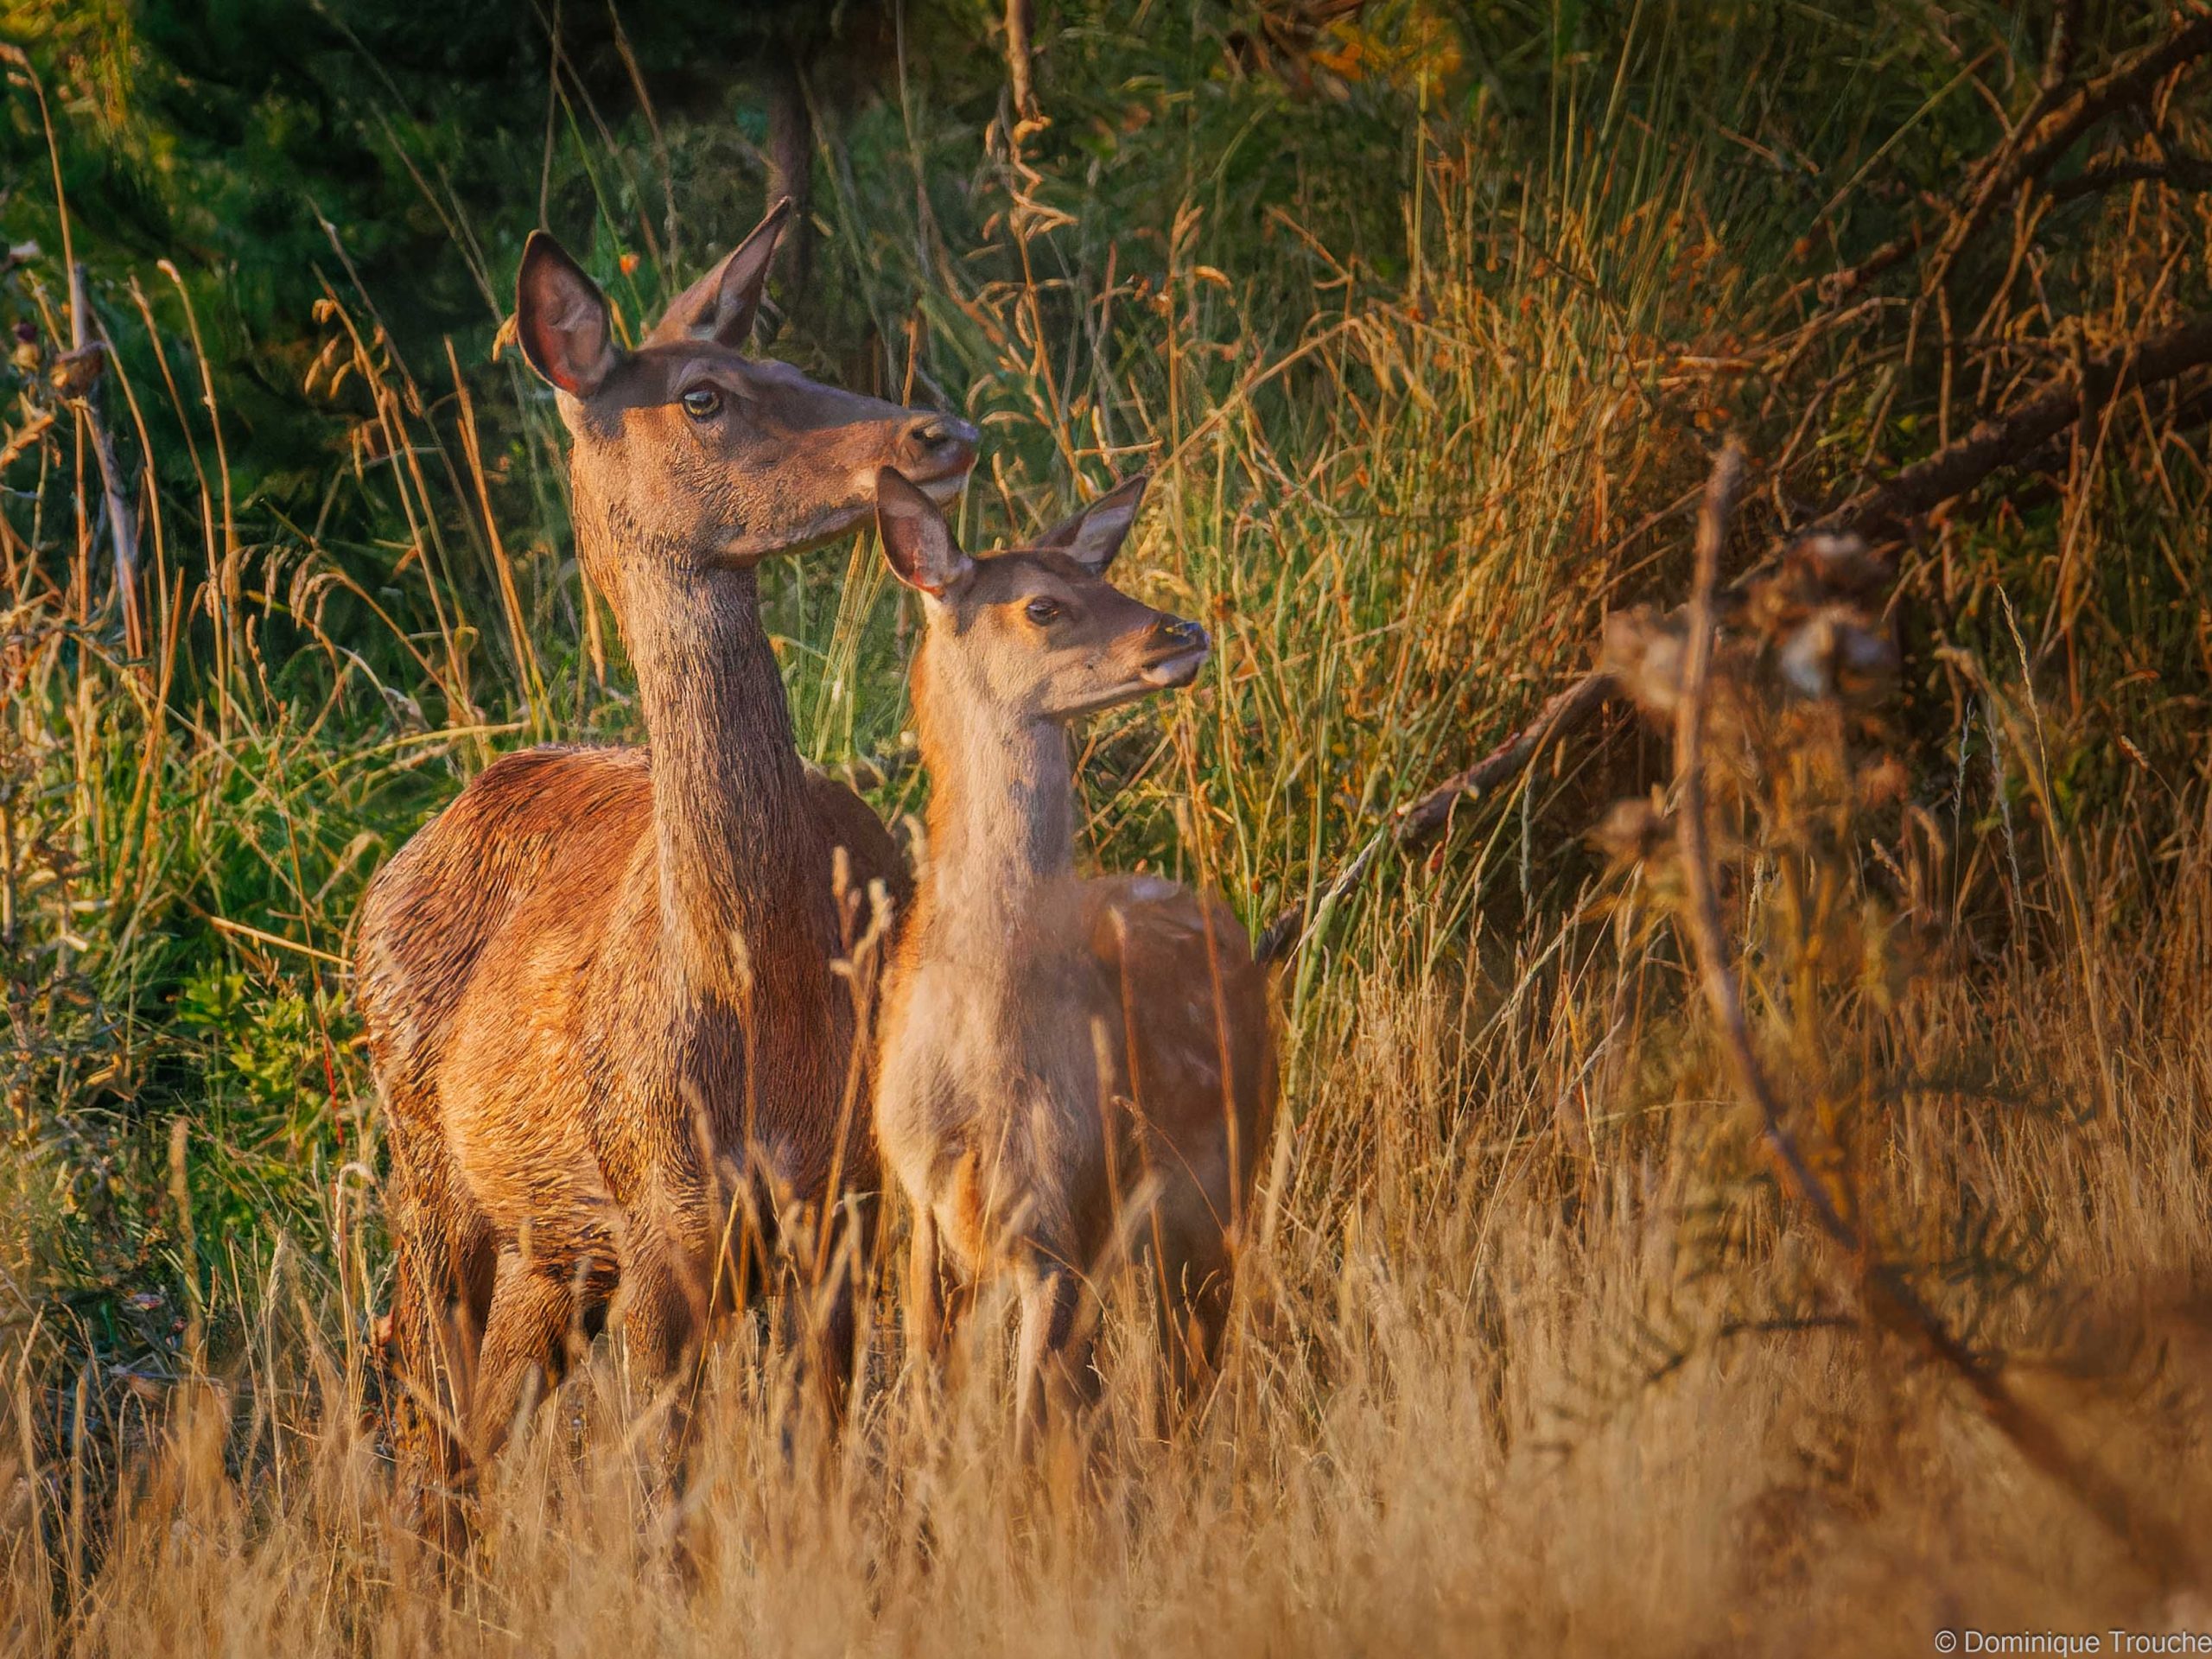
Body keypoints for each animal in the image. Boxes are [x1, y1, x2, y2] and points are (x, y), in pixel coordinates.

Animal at [353, 200, 978, 1510]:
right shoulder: (660, 1232)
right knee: (434, 1432)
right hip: (426, 1166)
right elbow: (662, 1508)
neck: (764, 999)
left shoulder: (841, 1209)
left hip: (554, 1249)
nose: (941, 431)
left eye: (782, 360)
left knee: (479, 1429)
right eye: (702, 395)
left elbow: (818, 1471)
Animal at [868, 465, 1277, 1451]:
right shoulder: (923, 1203)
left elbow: (1029, 1435)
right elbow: (934, 1416)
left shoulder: (1070, 1212)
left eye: (1106, 577)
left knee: (1188, 1379)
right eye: (1043, 605)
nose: (1181, 631)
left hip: (1223, 1186)